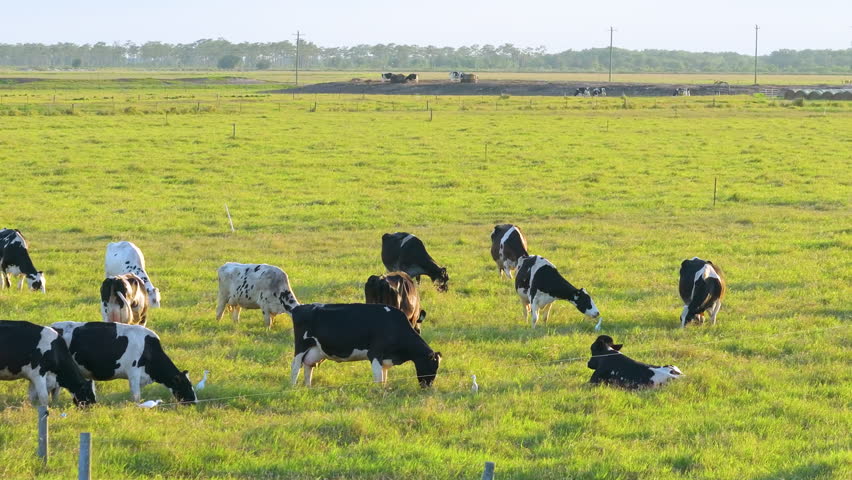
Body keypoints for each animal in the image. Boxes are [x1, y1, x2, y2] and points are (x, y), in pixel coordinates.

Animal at [290, 303, 442, 388]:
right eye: (430, 366)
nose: (428, 386)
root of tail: (299, 308)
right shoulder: (375, 353)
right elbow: (378, 376)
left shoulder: (385, 358)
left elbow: (384, 376)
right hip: (301, 346)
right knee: (296, 366)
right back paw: (293, 386)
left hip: (315, 350)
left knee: (308, 366)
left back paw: (308, 387)